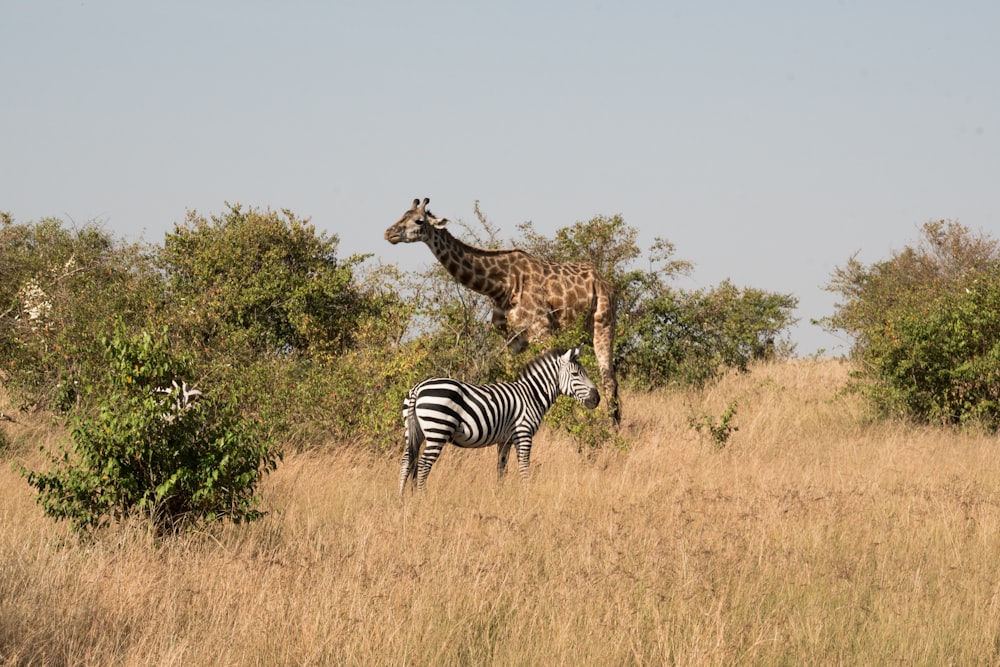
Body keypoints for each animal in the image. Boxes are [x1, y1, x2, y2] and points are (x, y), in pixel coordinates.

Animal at [386, 196, 620, 422]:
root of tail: (605, 282)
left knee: (608, 378)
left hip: (603, 323)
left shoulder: (543, 331)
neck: (502, 286)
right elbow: (507, 379)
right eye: (402, 214)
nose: (389, 233)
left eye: (419, 221)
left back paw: (612, 426)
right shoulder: (511, 339)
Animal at [398, 344, 600, 496]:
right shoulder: (523, 434)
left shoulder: (505, 440)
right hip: (438, 430)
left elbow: (502, 469)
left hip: (414, 431)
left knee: (407, 462)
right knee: (423, 464)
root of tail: (418, 388)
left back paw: (402, 500)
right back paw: (422, 497)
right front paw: (526, 495)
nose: (597, 399)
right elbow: (524, 467)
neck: (532, 395)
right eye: (576, 374)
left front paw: (500, 496)